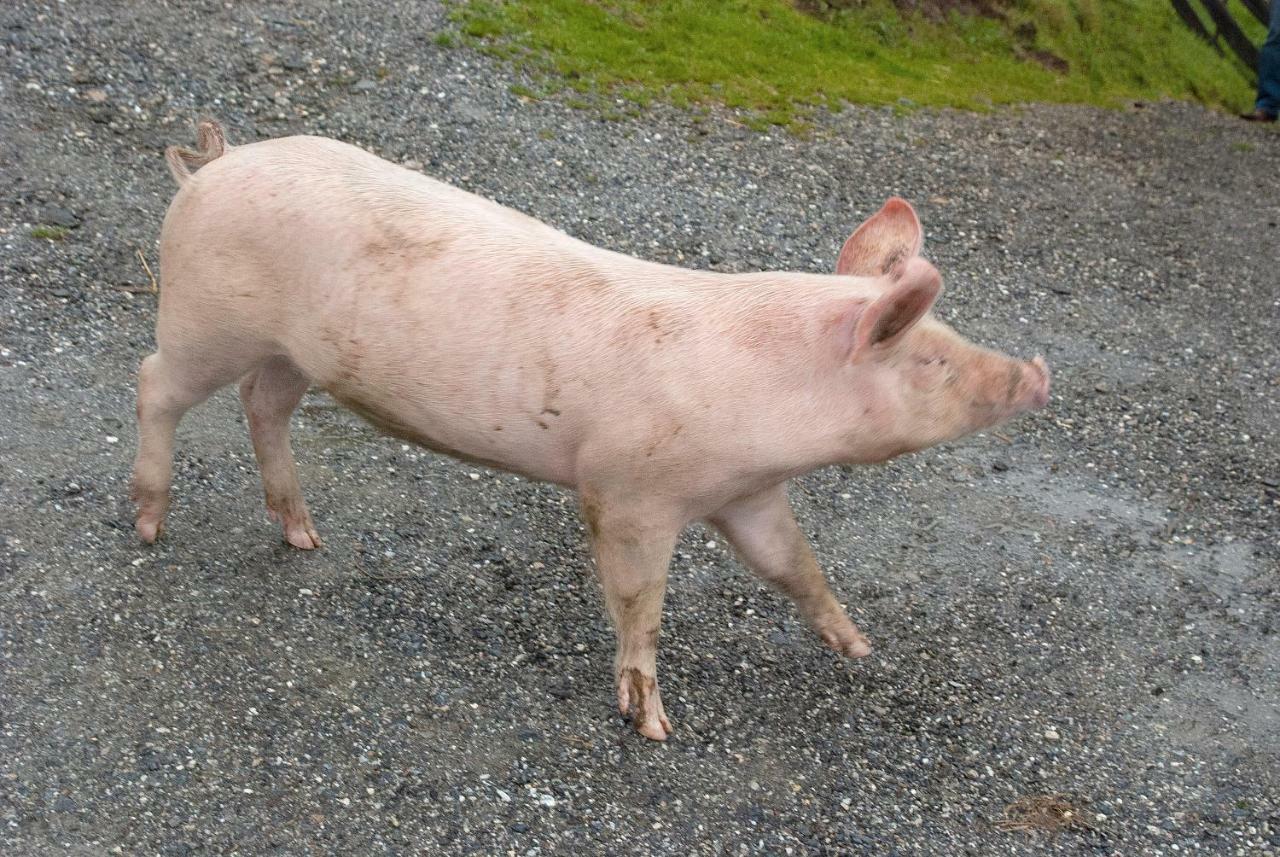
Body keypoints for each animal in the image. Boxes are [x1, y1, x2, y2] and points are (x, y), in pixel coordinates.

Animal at [135, 122, 1049, 746]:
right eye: (931, 359)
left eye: (952, 337)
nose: (1038, 370)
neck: (768, 395)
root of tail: (213, 165)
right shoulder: (628, 488)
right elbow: (640, 601)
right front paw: (655, 726)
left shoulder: (750, 494)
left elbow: (796, 565)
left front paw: (858, 645)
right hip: (206, 318)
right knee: (154, 384)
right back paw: (149, 524)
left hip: (292, 353)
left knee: (262, 404)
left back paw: (305, 536)